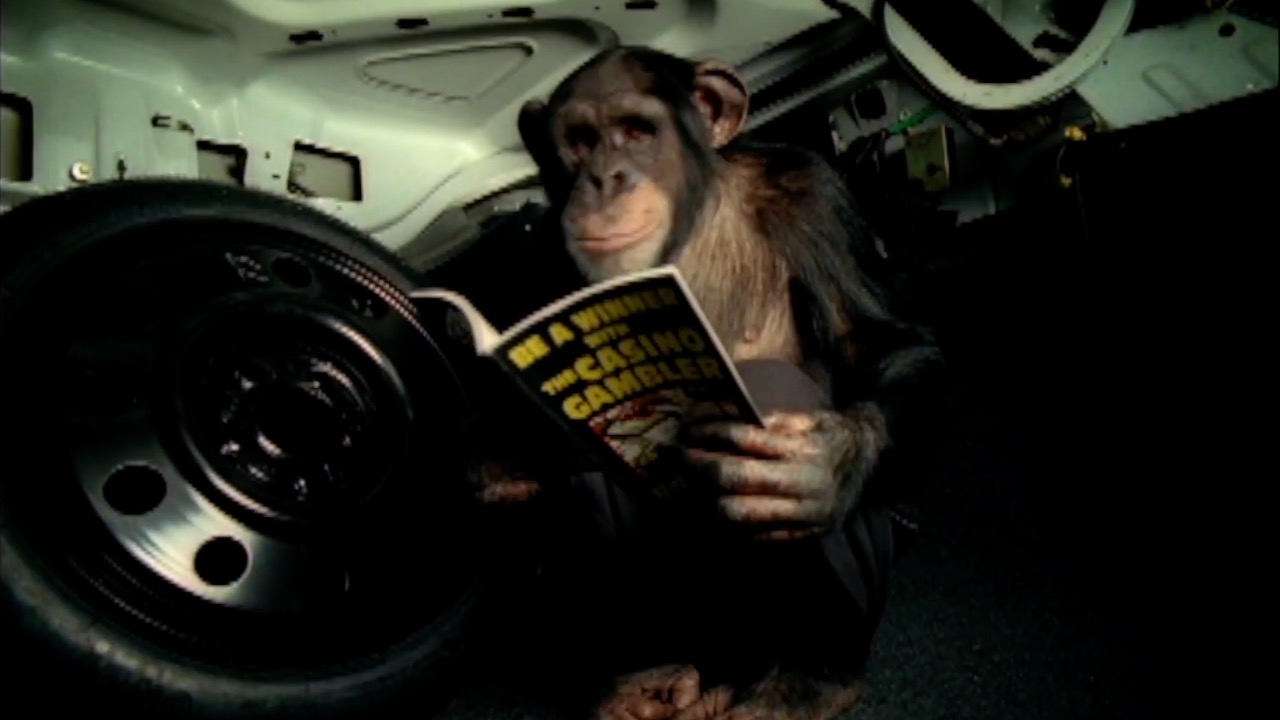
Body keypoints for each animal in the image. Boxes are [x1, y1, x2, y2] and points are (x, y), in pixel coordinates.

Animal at [466, 46, 947, 720]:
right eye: (579, 141)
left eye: (638, 131)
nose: (604, 178)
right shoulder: (528, 251)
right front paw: (504, 475)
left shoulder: (813, 196)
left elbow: (880, 343)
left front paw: (823, 464)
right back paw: (636, 682)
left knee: (776, 385)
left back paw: (808, 680)